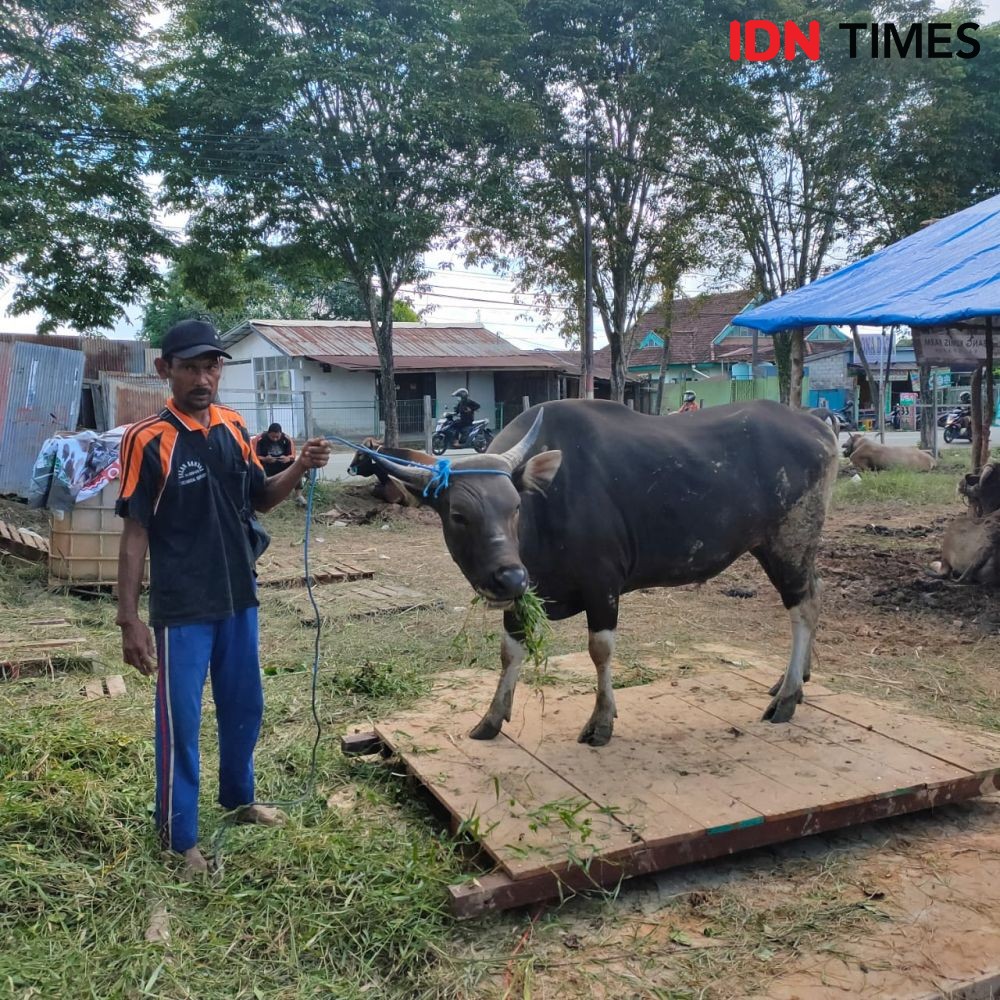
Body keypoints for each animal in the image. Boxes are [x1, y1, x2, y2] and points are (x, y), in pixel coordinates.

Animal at [376, 396, 836, 744]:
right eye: (458, 515)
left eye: (515, 507)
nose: (508, 577)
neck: (551, 504)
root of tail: (813, 422)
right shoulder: (525, 596)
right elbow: (509, 652)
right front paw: (491, 718)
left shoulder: (603, 586)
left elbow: (600, 650)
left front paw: (601, 721)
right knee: (815, 594)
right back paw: (794, 680)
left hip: (788, 544)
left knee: (804, 606)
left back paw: (787, 698)